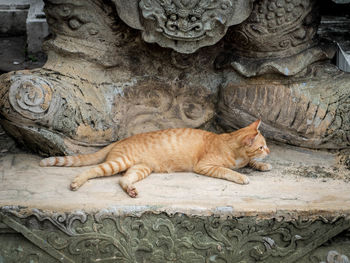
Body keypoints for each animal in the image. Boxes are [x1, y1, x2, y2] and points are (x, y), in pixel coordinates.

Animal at [40, 119, 270, 198]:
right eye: (261, 146)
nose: (269, 151)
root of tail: (121, 139)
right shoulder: (205, 166)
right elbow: (227, 170)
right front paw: (242, 176)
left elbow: (251, 162)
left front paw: (263, 165)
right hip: (118, 163)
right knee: (91, 170)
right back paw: (77, 182)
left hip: (141, 168)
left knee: (123, 179)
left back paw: (131, 190)